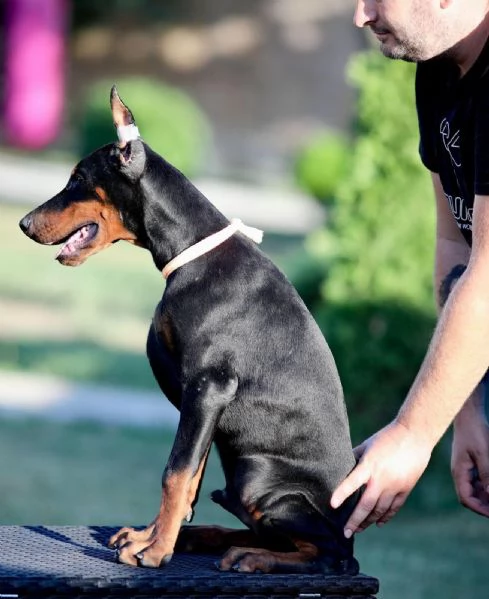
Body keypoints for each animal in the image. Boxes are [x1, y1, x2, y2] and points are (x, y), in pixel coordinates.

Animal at [19, 86, 358, 576]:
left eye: (77, 179)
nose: (23, 223)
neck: (191, 253)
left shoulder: (209, 385)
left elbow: (176, 471)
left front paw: (156, 550)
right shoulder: (200, 402)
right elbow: (190, 476)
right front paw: (154, 536)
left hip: (258, 478)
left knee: (329, 556)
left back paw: (252, 557)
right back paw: (210, 538)